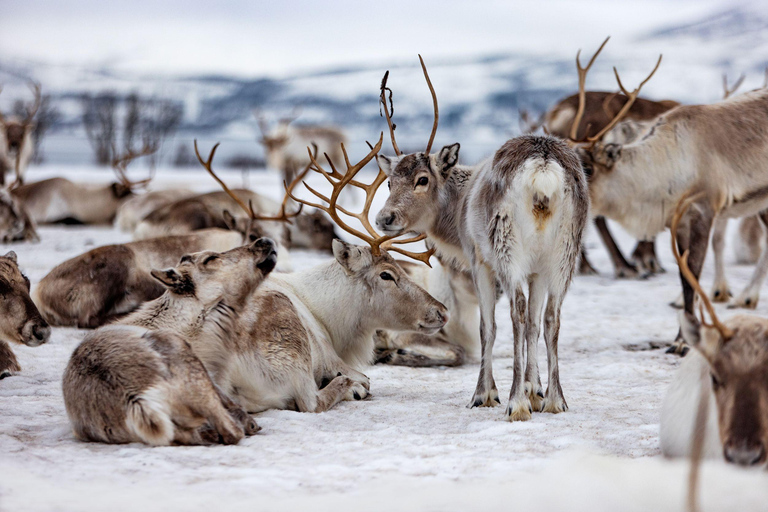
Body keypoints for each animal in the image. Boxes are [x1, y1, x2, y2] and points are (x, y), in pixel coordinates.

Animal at [62, 238, 275, 445]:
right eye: (210, 258)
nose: (265, 241)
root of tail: (136, 399)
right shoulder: (209, 374)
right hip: (187, 366)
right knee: (230, 430)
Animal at [374, 56, 589, 421]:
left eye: (422, 179)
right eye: (389, 182)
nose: (384, 218)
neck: (458, 205)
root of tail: (544, 167)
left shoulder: (478, 260)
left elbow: (488, 327)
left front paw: (487, 394)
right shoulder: (537, 268)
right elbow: (535, 324)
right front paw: (535, 391)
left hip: (506, 248)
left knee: (516, 314)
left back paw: (515, 403)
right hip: (565, 253)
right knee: (551, 318)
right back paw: (556, 399)